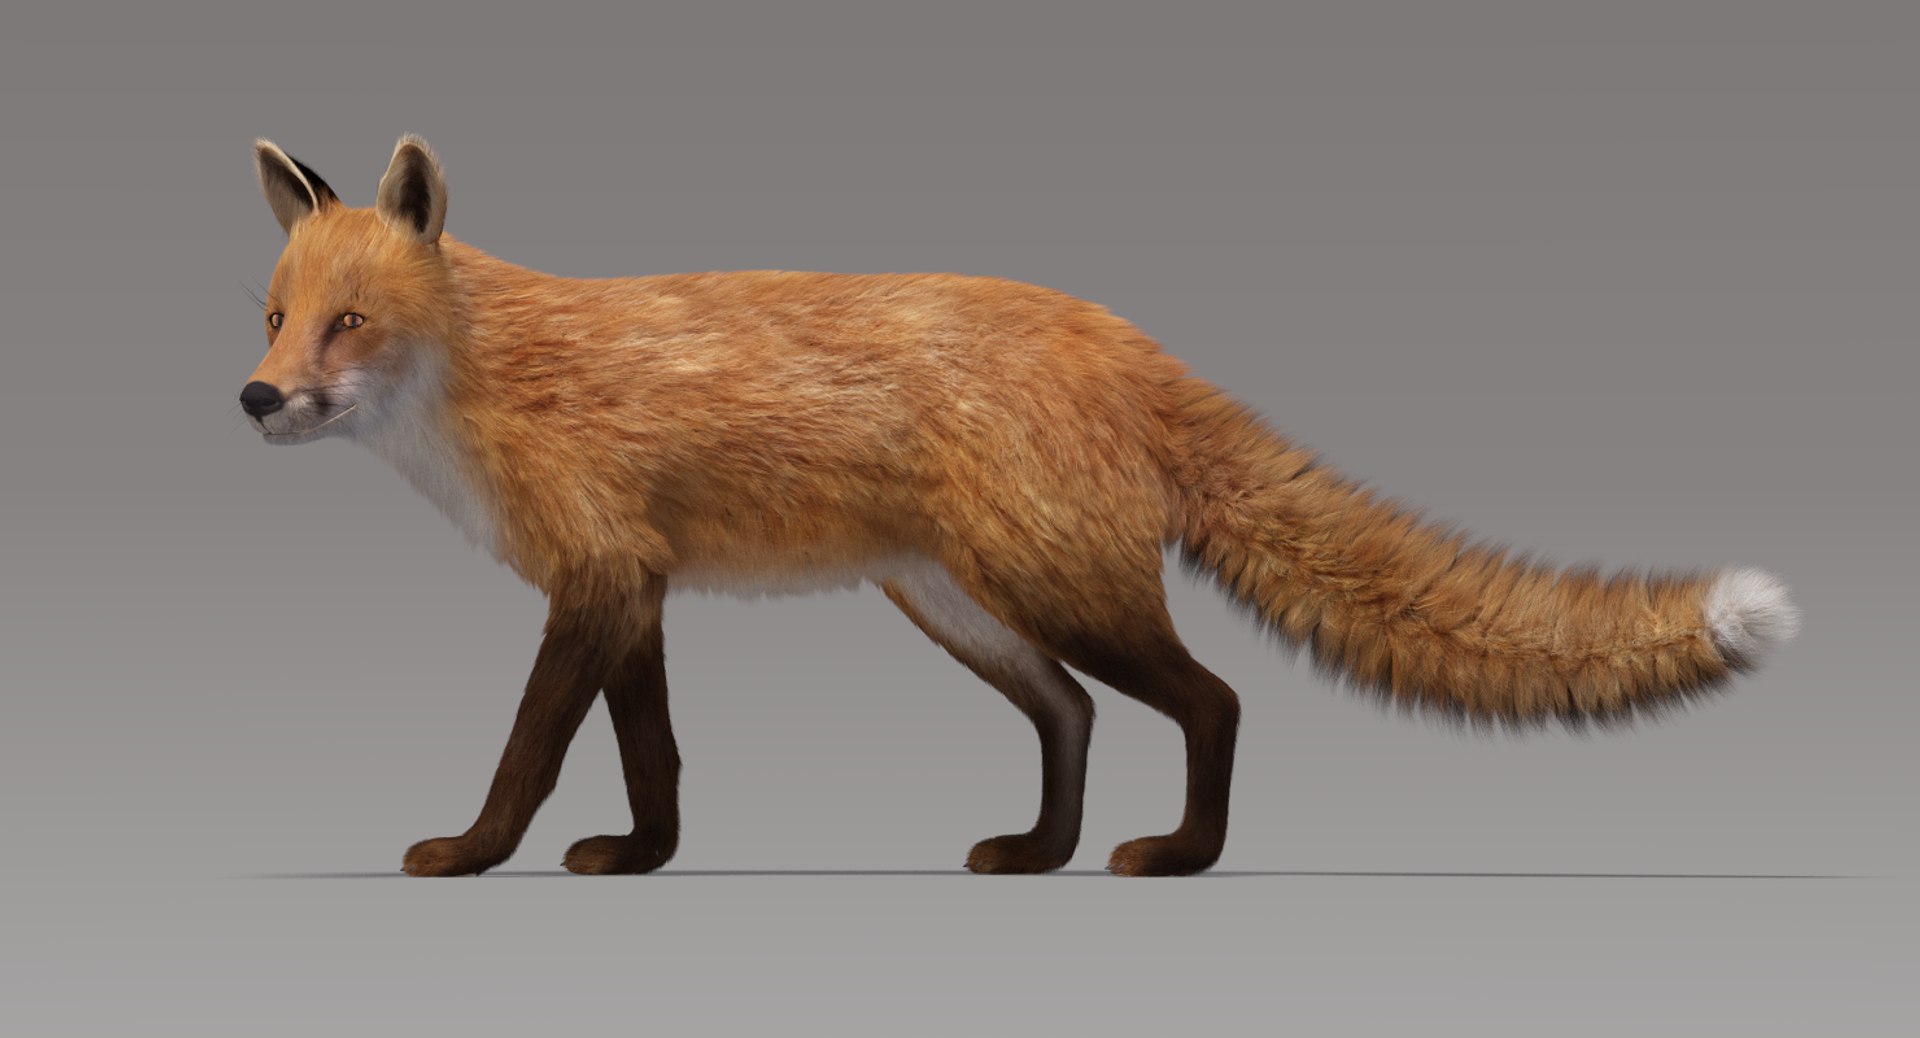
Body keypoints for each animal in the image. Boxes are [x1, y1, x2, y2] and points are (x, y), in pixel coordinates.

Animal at [241, 135, 1799, 877]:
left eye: (350, 323)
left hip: (1057, 587)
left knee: (1211, 699)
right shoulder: (630, 584)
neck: (492, 378)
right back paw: (1041, 851)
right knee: (1075, 711)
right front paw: (643, 861)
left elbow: (531, 751)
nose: (255, 400)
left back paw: (1176, 859)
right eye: (272, 316)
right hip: (957, 601)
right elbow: (653, 757)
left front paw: (467, 855)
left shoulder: (601, 579)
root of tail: (1126, 336)